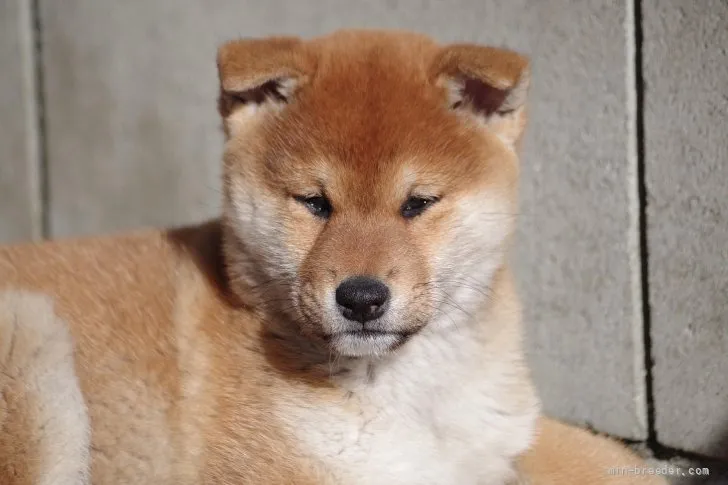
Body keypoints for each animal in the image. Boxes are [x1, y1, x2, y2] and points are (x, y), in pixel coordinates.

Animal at [0, 30, 664, 484]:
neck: (413, 395)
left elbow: (610, 460)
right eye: (315, 203)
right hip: (29, 343)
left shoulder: (501, 435)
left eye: (417, 203)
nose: (361, 297)